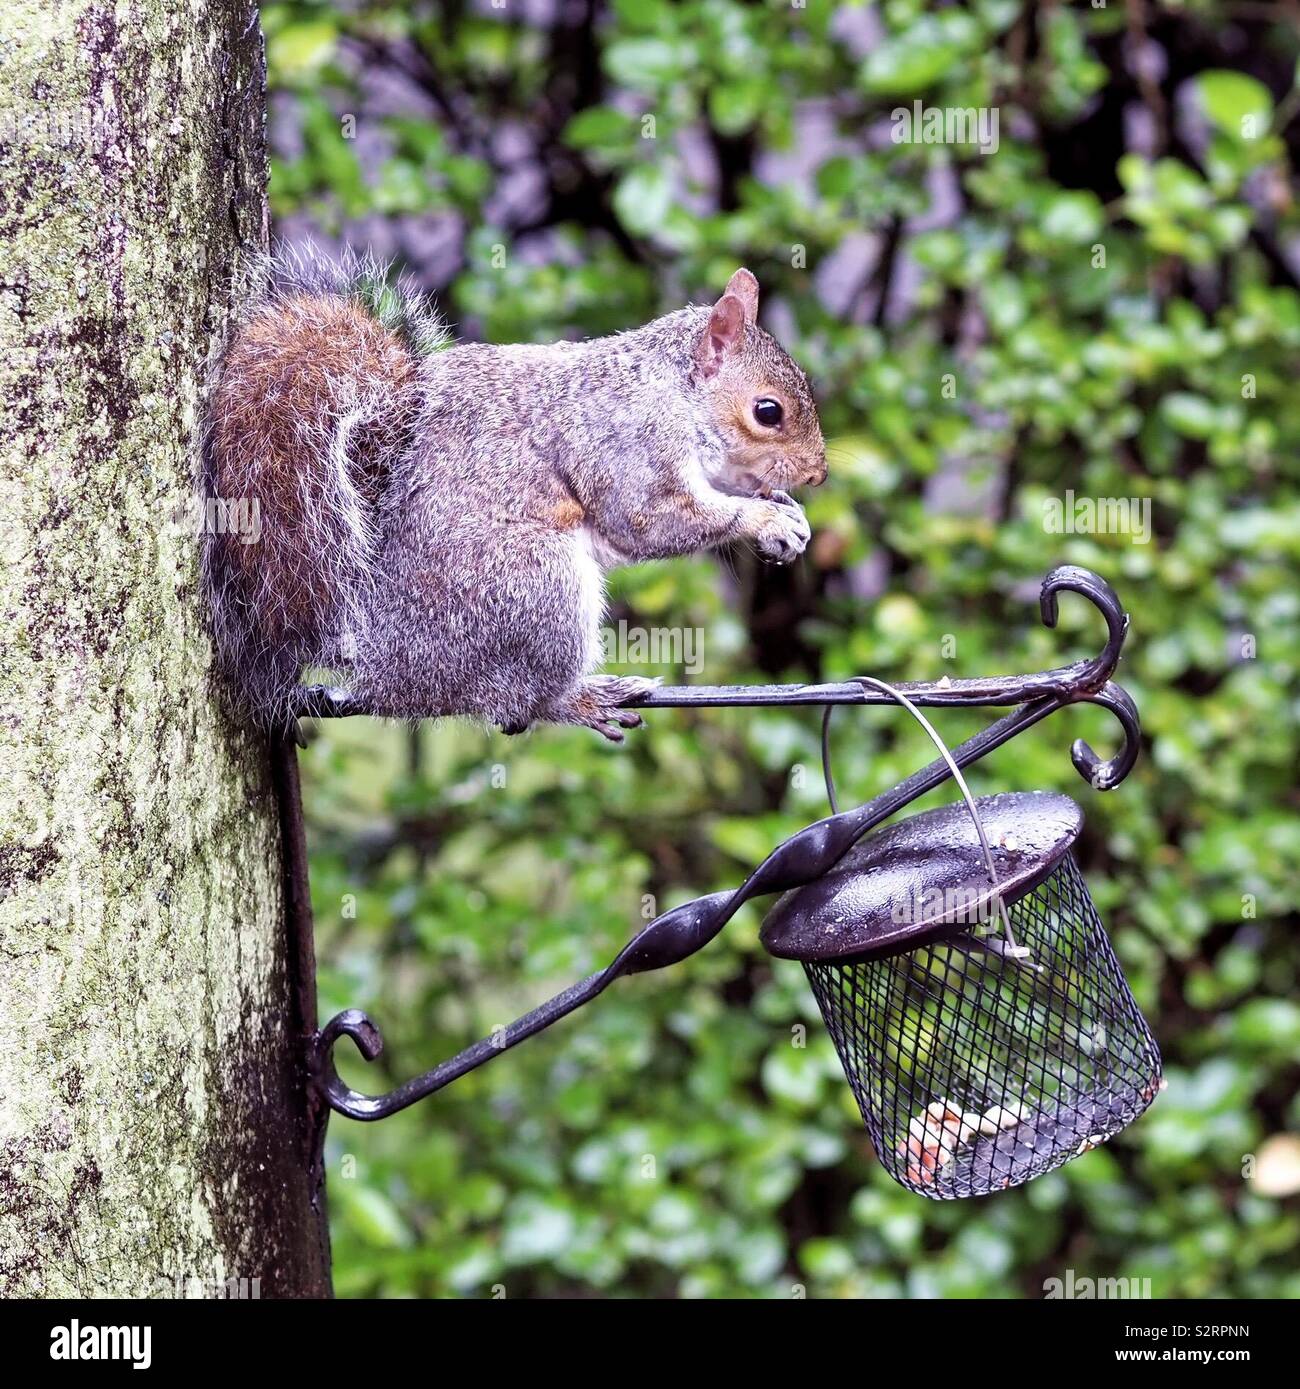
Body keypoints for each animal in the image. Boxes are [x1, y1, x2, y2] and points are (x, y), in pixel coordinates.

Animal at [202, 248, 827, 741]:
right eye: (767, 412)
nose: (818, 475)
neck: (673, 392)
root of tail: (383, 657)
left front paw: (786, 510)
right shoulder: (629, 447)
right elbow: (650, 520)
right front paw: (766, 520)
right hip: (536, 588)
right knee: (517, 699)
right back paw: (581, 699)